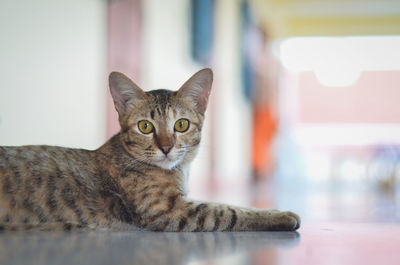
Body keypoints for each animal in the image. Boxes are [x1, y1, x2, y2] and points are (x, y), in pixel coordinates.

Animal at [0, 69, 300, 230]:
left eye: (181, 124)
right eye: (145, 127)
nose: (166, 147)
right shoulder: (169, 211)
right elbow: (229, 211)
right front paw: (279, 215)